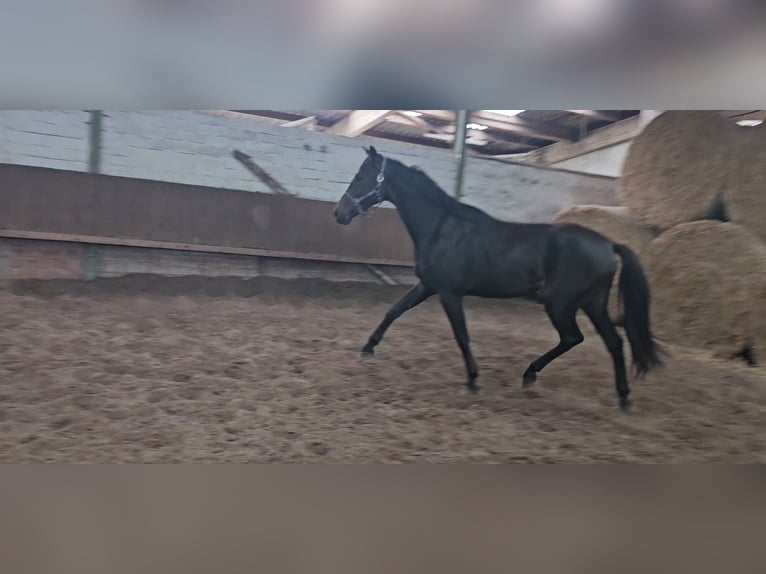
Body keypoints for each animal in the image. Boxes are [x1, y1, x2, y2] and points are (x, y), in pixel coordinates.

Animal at [332, 146, 664, 412]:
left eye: (361, 177)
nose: (339, 213)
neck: (442, 228)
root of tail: (609, 244)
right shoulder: (428, 286)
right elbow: (394, 310)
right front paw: (368, 348)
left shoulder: (450, 292)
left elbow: (462, 335)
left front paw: (472, 381)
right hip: (592, 304)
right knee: (614, 342)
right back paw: (622, 397)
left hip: (561, 304)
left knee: (574, 338)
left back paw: (531, 375)